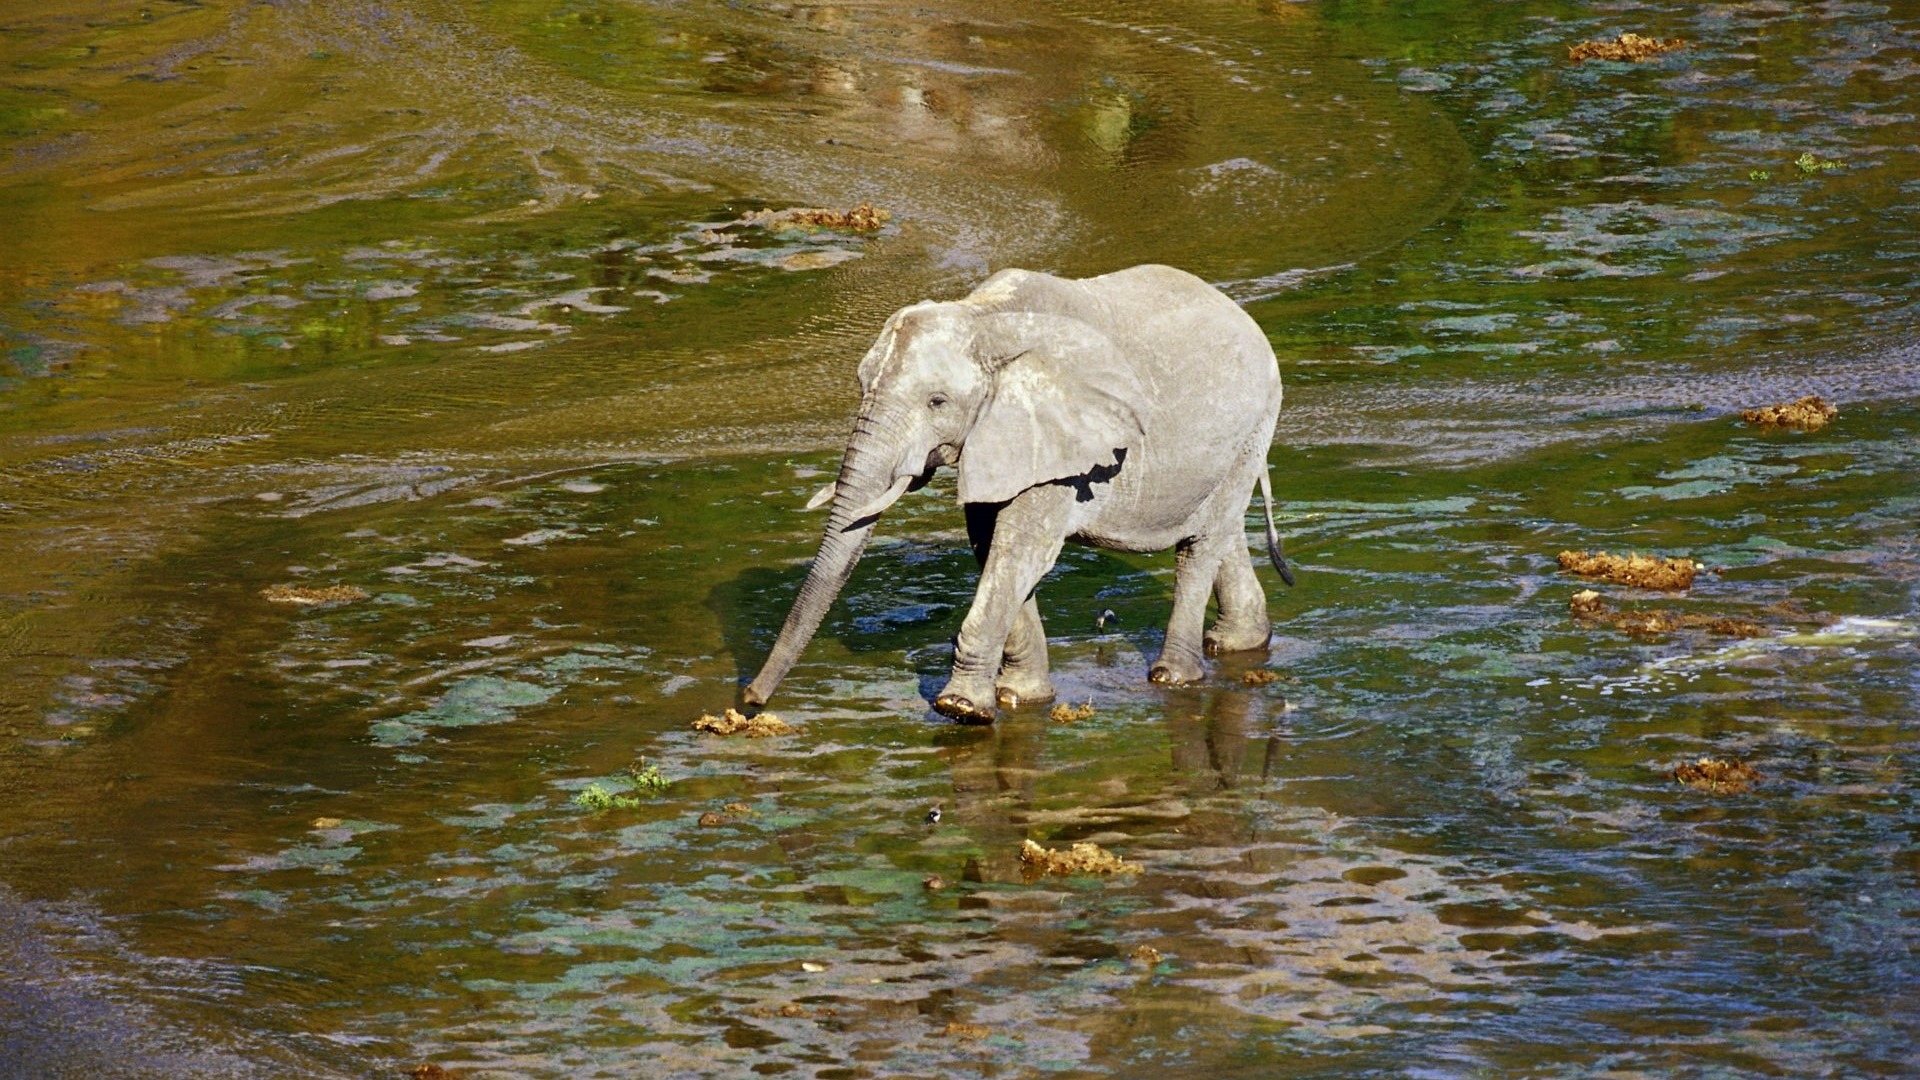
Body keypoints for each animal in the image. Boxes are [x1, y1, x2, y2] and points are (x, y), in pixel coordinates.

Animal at [741, 259, 1297, 722]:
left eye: (937, 402)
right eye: (861, 386)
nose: (750, 700)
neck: (985, 319)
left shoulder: (1062, 447)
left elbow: (1019, 550)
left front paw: (961, 708)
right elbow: (991, 546)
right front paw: (1018, 697)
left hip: (1255, 419)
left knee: (1199, 546)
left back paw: (1172, 678)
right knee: (1219, 530)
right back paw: (1240, 643)